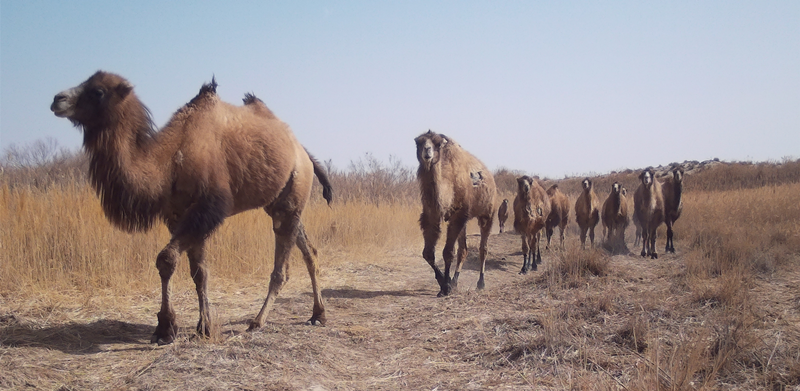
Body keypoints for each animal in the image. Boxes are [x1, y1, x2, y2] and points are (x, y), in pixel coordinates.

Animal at [50, 71, 332, 346]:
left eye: (98, 91)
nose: (57, 99)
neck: (169, 161)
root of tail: (304, 153)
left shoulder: (207, 209)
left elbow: (166, 259)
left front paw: (166, 328)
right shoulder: (177, 215)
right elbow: (199, 272)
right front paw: (201, 327)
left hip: (292, 193)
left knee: (281, 267)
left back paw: (258, 321)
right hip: (282, 203)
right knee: (309, 250)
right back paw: (318, 314)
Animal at [416, 131, 496, 298]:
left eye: (437, 144)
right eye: (417, 142)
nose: (427, 151)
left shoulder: (458, 214)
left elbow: (448, 252)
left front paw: (445, 288)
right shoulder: (431, 215)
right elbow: (428, 253)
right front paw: (444, 283)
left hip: (488, 213)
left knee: (483, 248)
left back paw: (480, 283)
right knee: (463, 250)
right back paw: (455, 281)